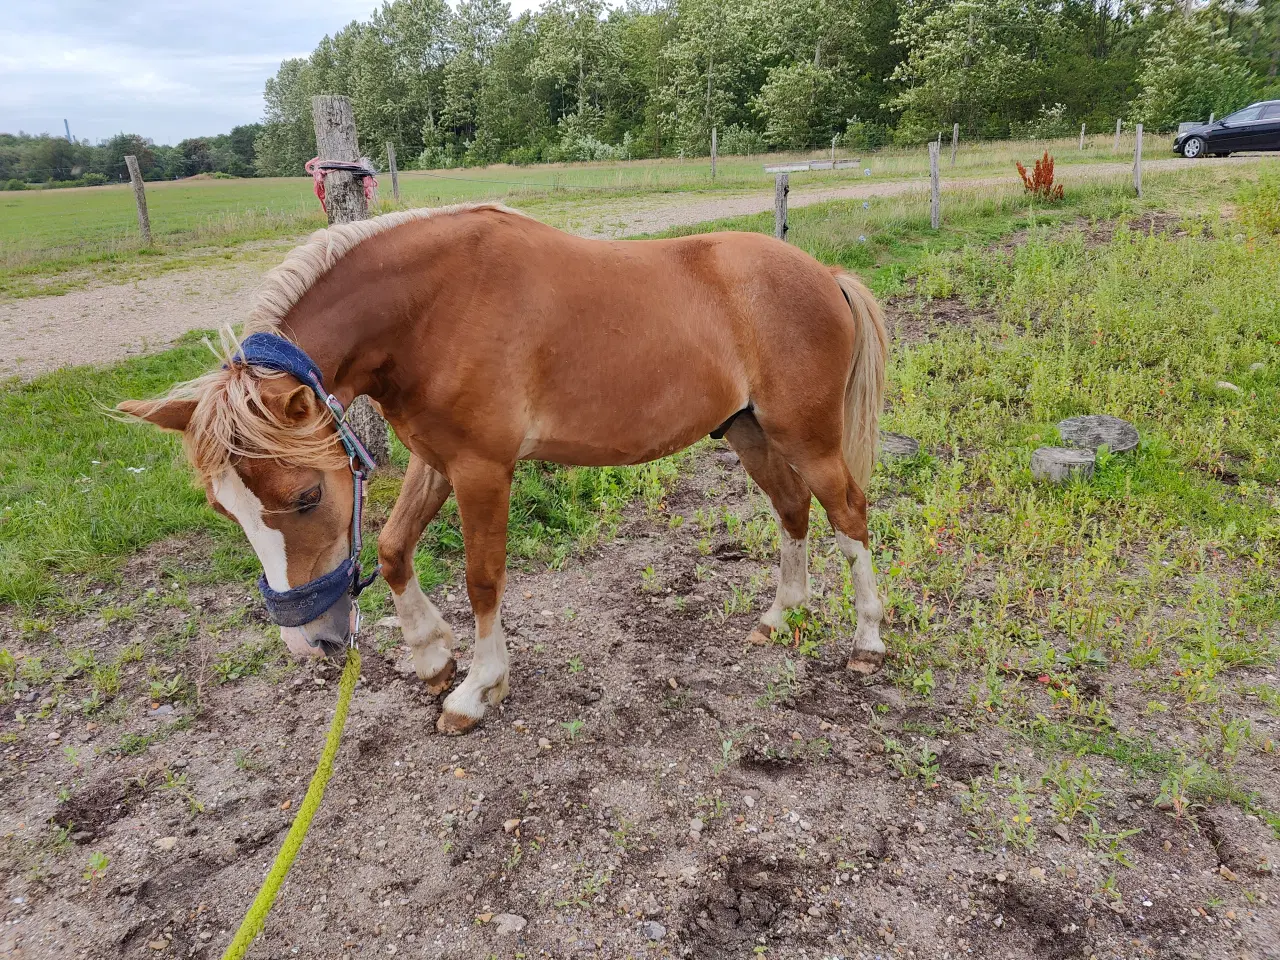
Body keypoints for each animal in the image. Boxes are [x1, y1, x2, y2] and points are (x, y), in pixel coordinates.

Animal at [122, 200, 890, 727]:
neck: (429, 310)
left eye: (307, 496)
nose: (310, 644)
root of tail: (822, 274)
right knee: (792, 509)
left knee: (849, 513)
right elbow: (394, 548)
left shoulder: (482, 469)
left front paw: (477, 688)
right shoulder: (436, 460)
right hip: (749, 433)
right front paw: (433, 656)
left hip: (807, 438)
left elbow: (482, 578)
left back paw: (867, 641)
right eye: (227, 510)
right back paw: (779, 617)